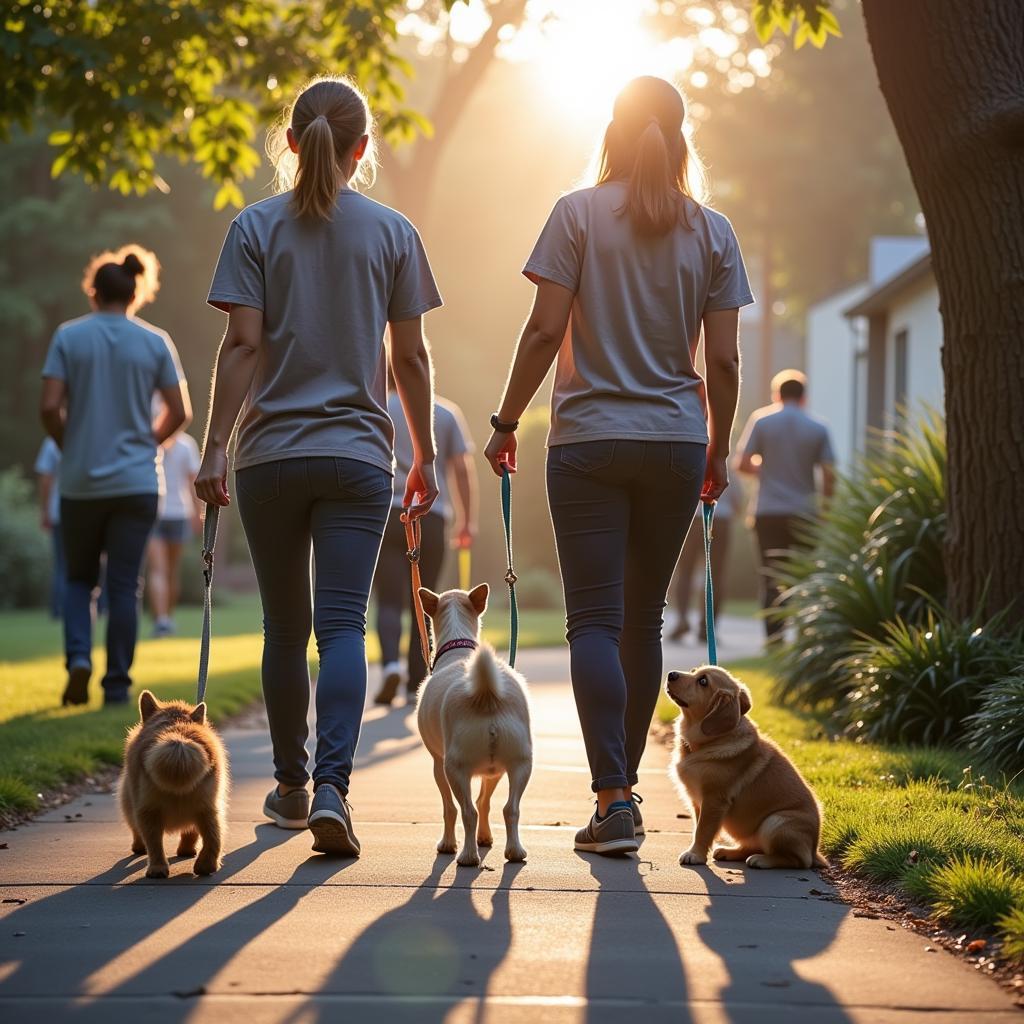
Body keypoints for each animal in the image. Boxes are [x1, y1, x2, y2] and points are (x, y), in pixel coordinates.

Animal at [119, 692, 228, 876]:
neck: (176, 720)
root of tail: (179, 738)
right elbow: (192, 832)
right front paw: (186, 850)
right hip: (208, 808)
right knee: (214, 836)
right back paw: (205, 865)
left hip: (146, 809)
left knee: (153, 842)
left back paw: (156, 868)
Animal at [413, 585, 532, 864]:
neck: (459, 645)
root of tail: (486, 694)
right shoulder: (494, 771)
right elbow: (485, 801)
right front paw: (485, 838)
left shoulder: (438, 764)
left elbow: (450, 808)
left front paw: (447, 844)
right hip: (521, 764)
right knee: (510, 809)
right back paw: (514, 851)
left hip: (455, 769)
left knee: (467, 811)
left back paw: (467, 856)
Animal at [663, 663, 823, 872]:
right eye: (693, 671)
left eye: (703, 681)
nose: (671, 674)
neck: (710, 742)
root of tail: (815, 851)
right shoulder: (697, 801)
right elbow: (697, 828)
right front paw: (698, 851)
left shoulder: (714, 799)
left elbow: (703, 830)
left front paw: (695, 854)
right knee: (751, 846)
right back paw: (729, 852)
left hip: (776, 822)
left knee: (798, 861)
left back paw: (762, 860)